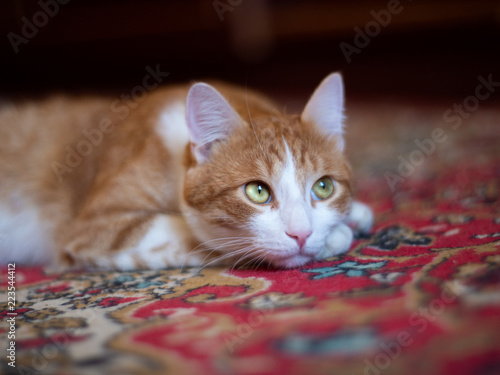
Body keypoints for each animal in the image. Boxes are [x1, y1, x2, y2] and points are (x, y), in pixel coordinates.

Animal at [0, 72, 374, 270]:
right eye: (258, 191)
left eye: (323, 187)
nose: (302, 234)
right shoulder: (95, 228)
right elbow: (197, 234)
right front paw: (338, 235)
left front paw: (352, 214)